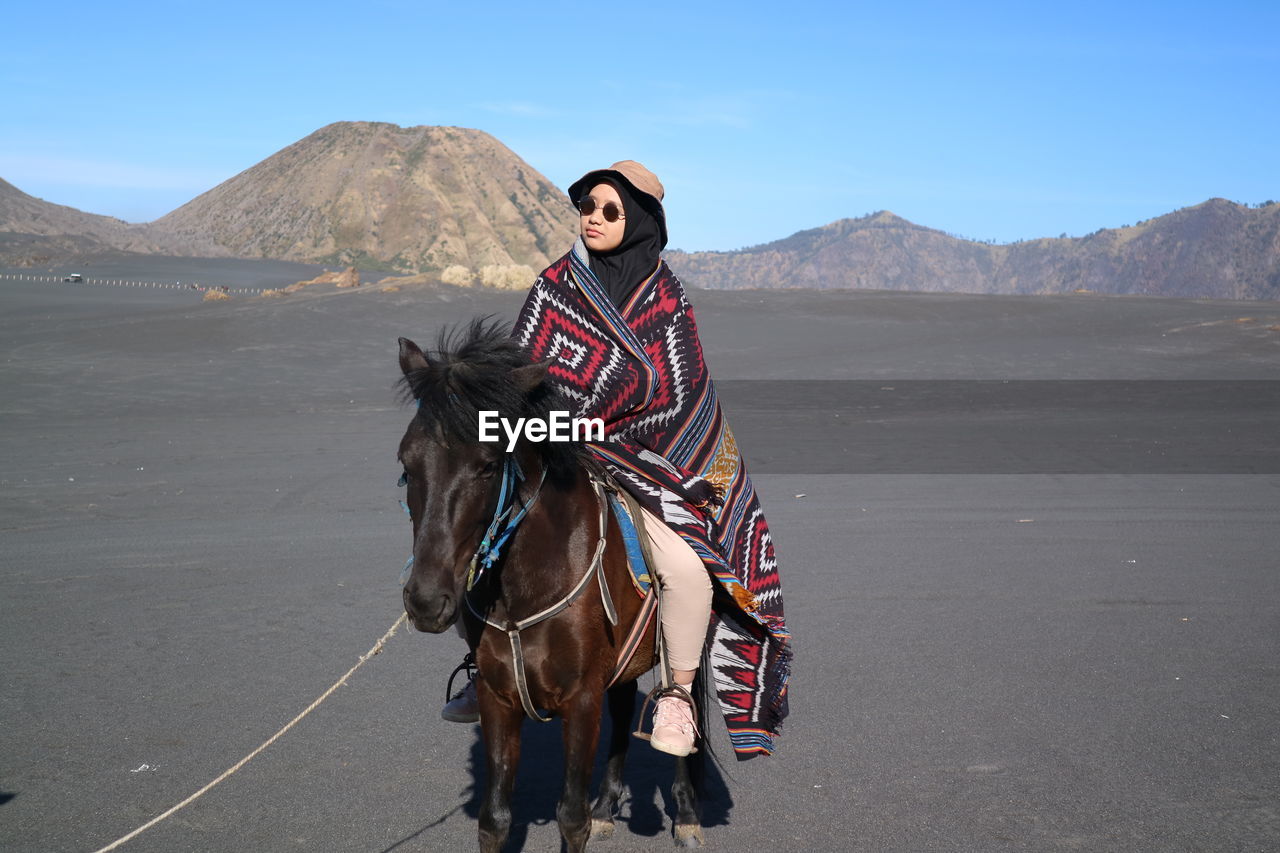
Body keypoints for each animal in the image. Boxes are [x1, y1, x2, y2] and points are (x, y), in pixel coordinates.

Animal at [396, 318, 711, 850]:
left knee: (689, 710)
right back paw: (608, 806)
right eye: (406, 465)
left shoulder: (580, 700)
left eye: (487, 464)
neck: (524, 589)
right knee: (622, 709)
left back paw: (687, 812)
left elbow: (570, 816)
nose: (425, 600)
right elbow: (495, 818)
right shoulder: (498, 698)